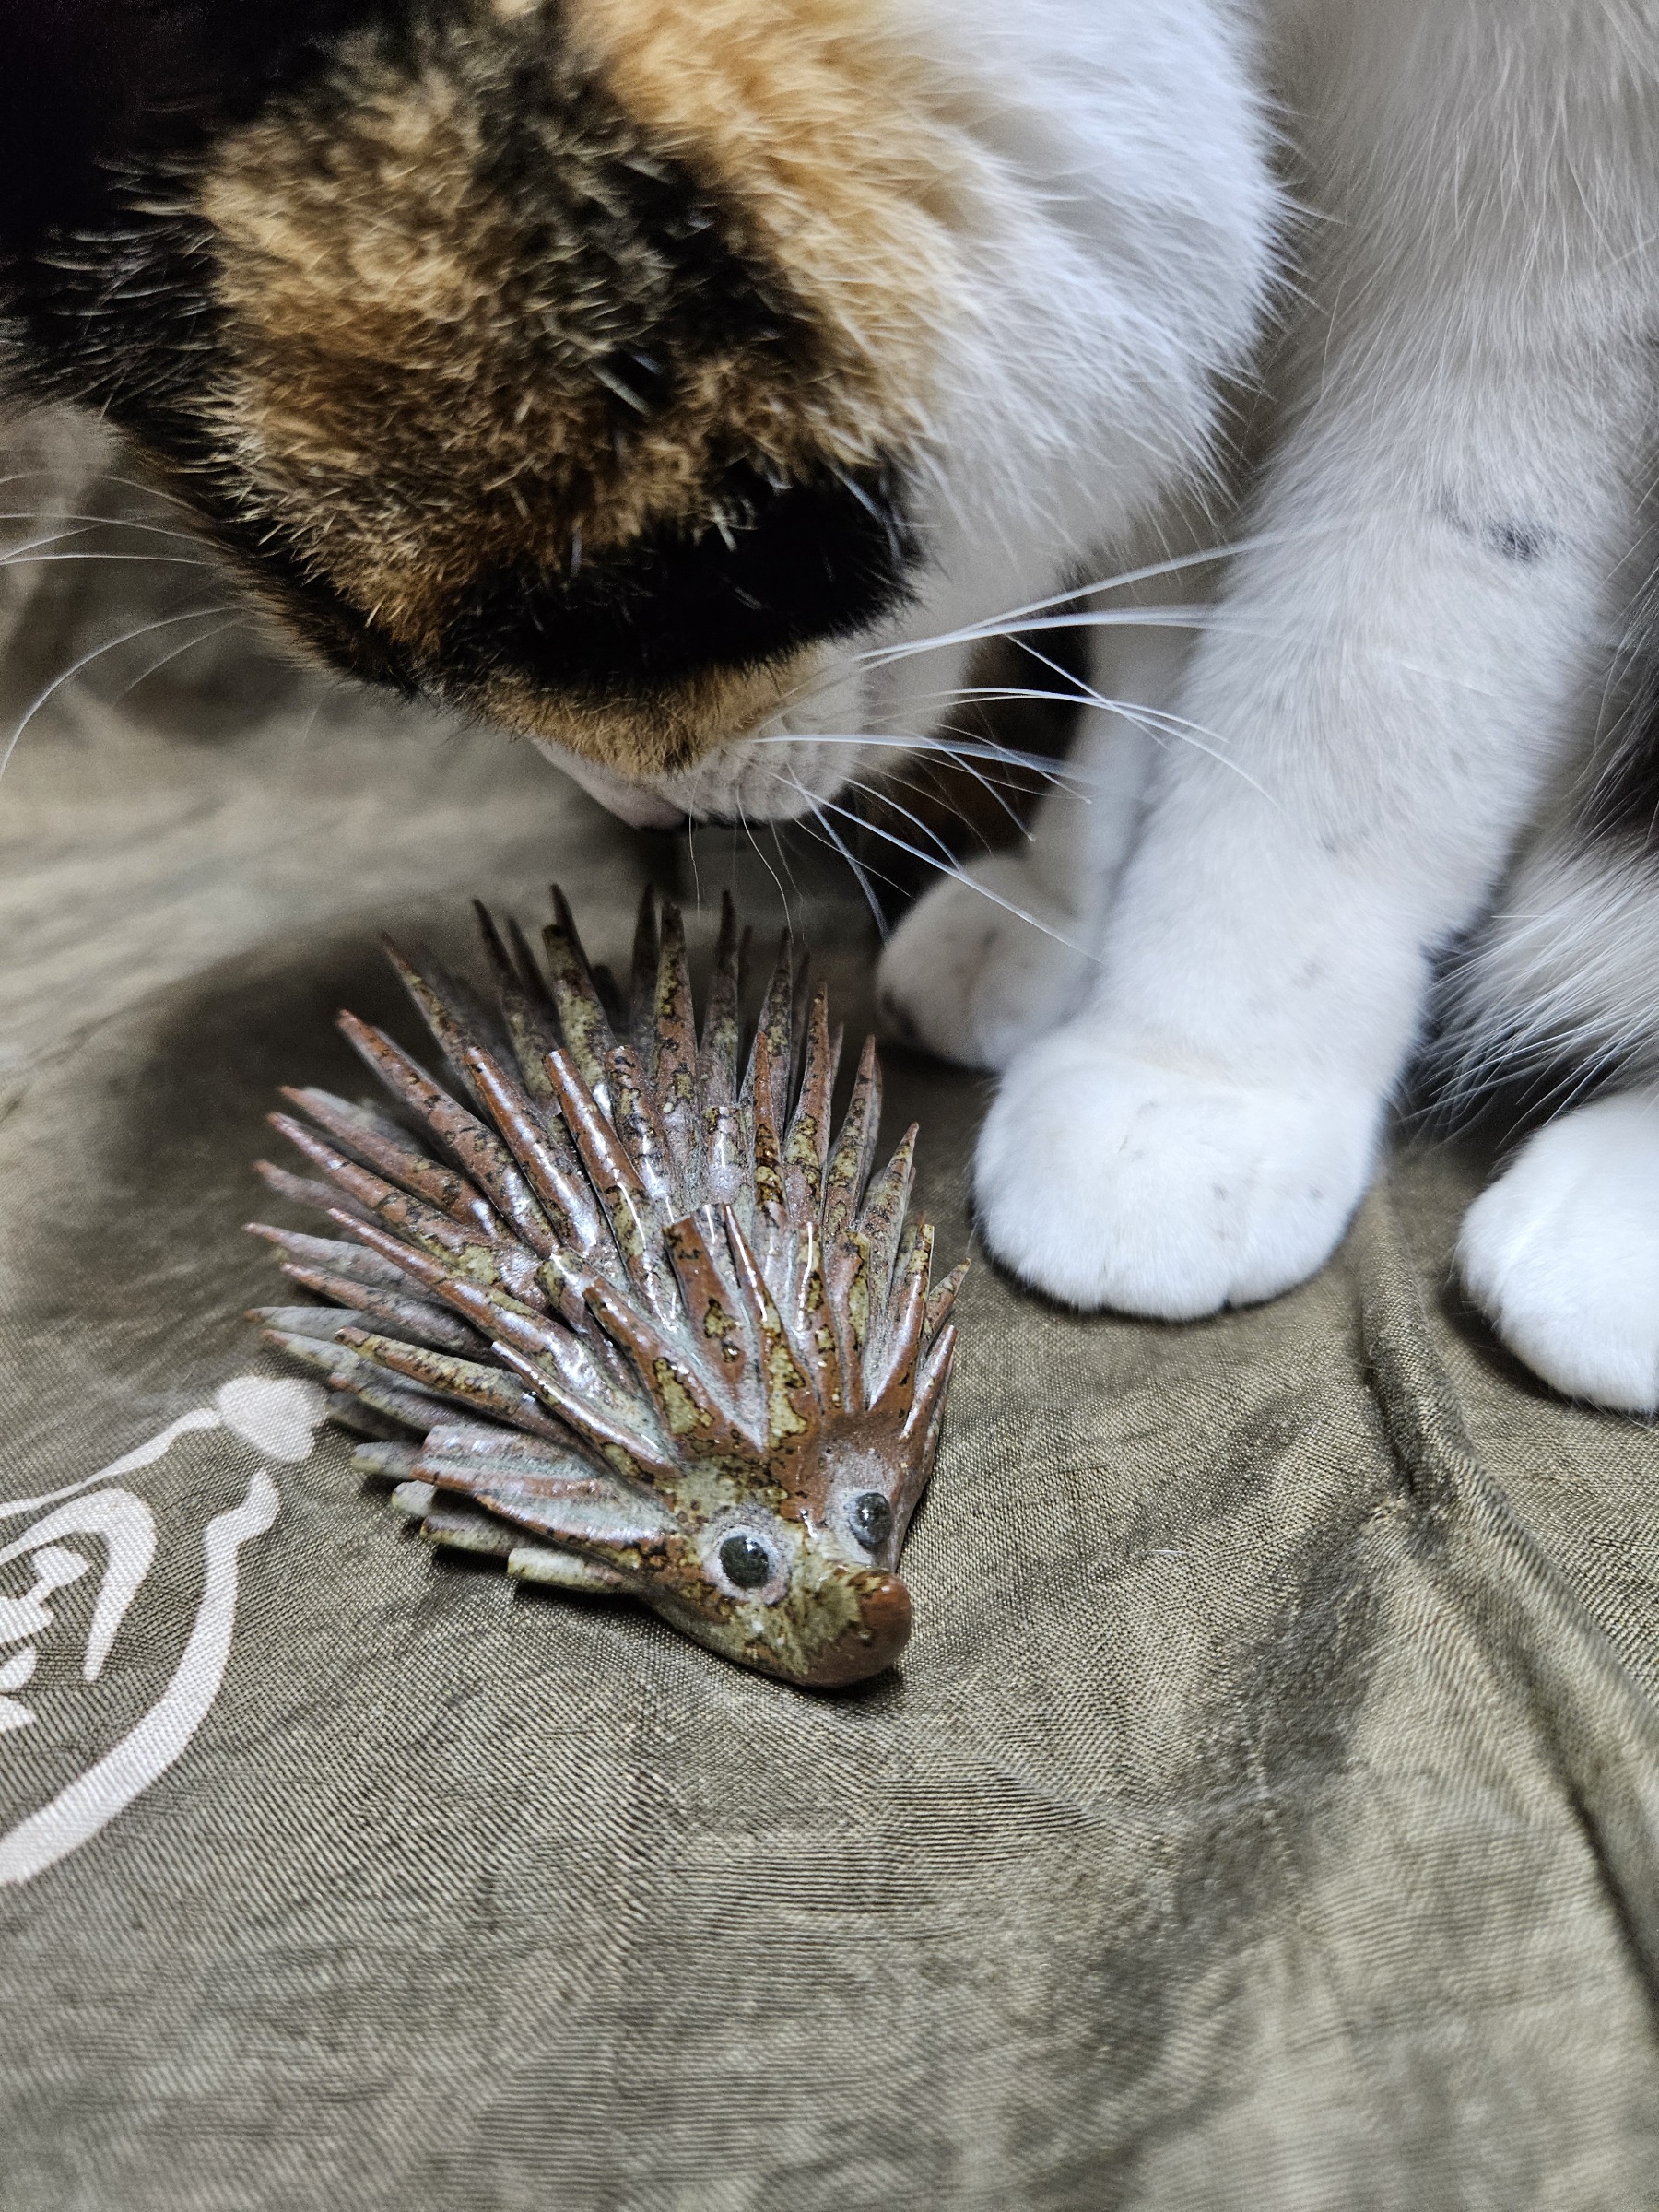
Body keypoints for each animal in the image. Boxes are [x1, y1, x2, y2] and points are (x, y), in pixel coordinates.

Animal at [4, 1, 1657, 1412]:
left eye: (598, 603)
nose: (630, 809)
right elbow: (1166, 580)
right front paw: (1066, 908)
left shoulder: (1546, 235)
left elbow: (1364, 657)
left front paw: (1191, 1076)